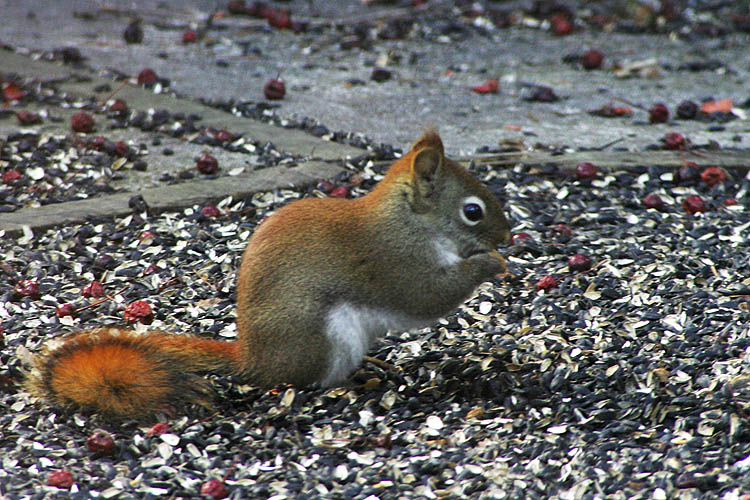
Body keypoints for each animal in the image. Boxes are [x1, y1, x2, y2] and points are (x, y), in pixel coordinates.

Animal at [25, 129, 511, 420]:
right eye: (472, 212)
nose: (507, 236)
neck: (410, 222)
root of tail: (253, 359)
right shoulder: (396, 260)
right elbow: (428, 296)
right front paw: (491, 264)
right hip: (320, 334)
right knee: (304, 380)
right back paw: (349, 383)